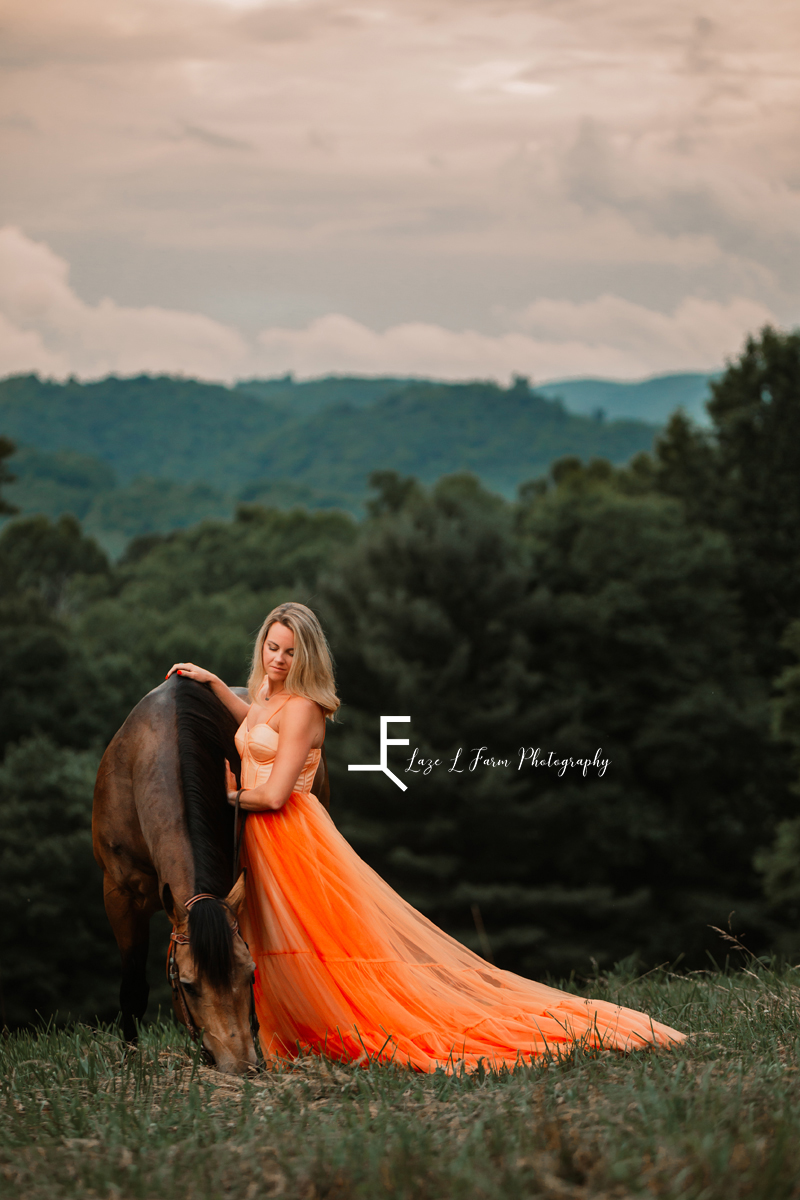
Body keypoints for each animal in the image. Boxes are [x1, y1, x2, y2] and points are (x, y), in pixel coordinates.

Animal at [92, 676, 331, 1080]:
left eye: (249, 974)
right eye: (188, 986)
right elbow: (133, 986)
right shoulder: (119, 893)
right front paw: (131, 1064)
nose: (241, 1066)